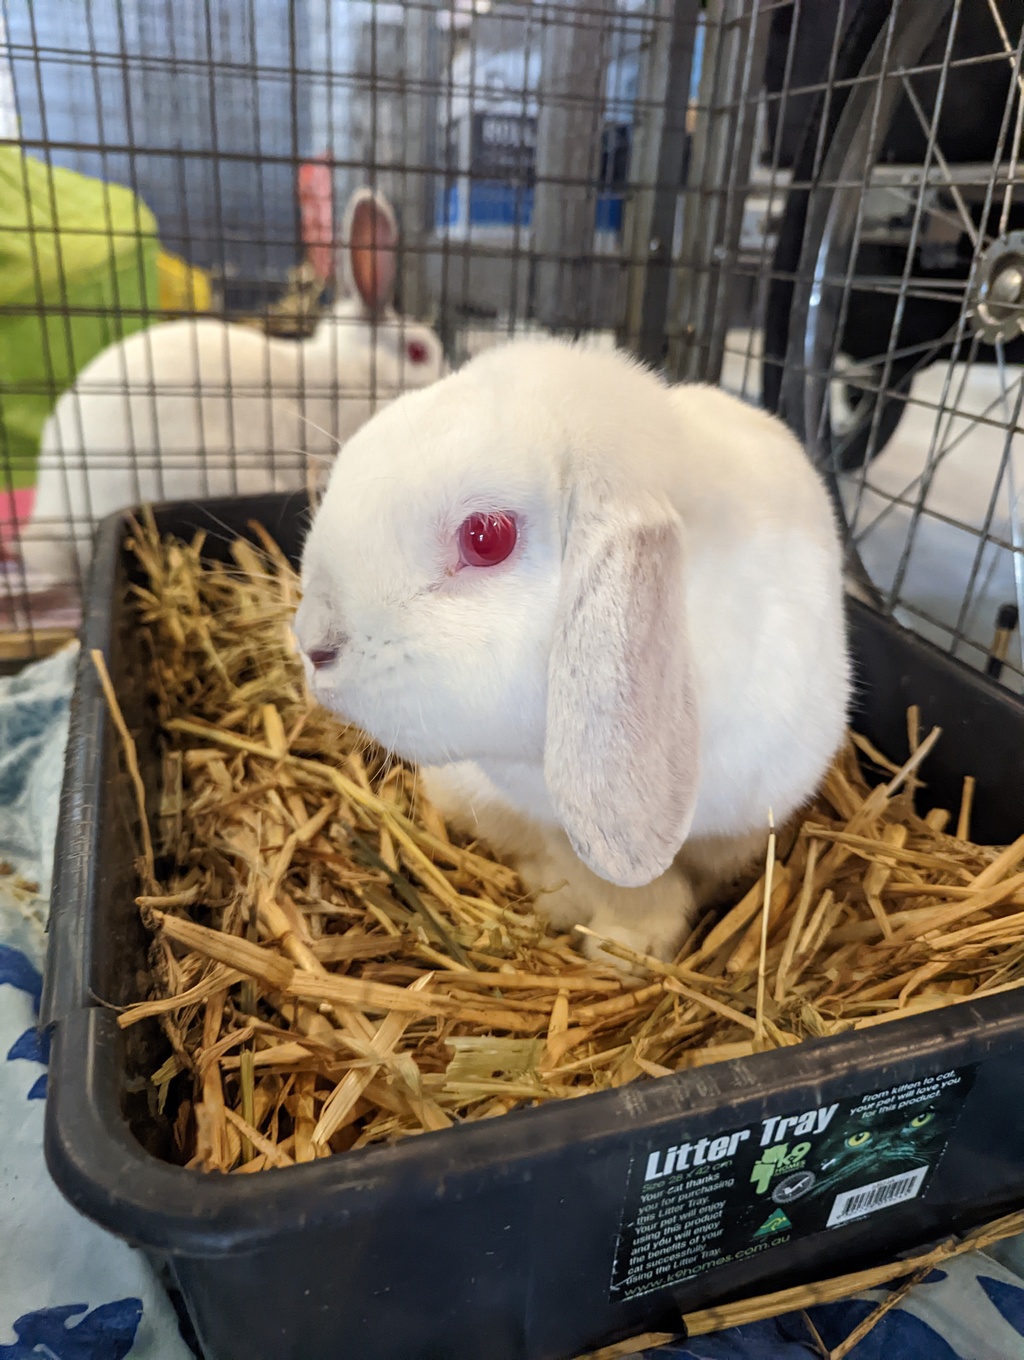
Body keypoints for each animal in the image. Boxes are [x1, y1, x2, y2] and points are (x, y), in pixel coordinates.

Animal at [293, 338, 851, 965]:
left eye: (486, 537)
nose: (312, 644)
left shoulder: (749, 822)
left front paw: (629, 948)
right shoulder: (553, 823)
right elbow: (606, 880)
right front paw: (615, 936)